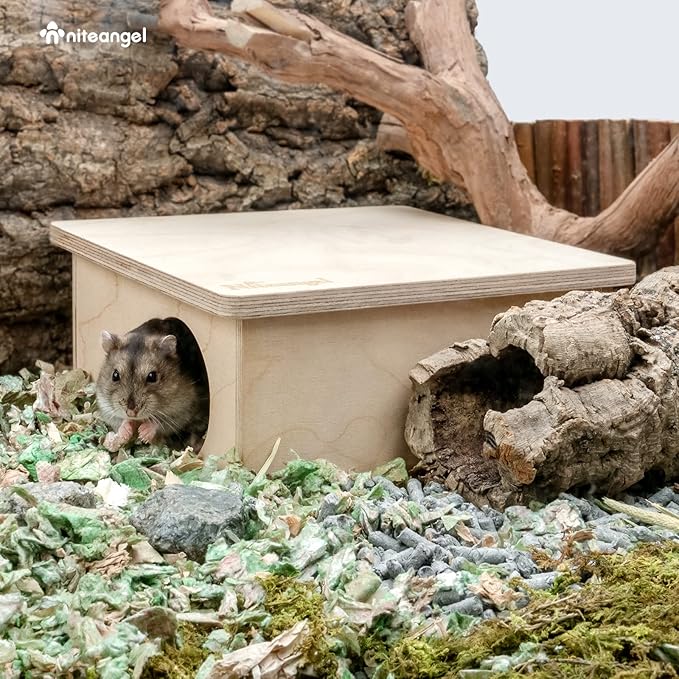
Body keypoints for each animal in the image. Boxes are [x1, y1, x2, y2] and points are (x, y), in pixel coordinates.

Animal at [96, 317, 209, 452]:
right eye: (115, 375)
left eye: (152, 376)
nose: (131, 413)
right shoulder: (105, 406)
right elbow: (120, 420)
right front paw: (125, 433)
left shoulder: (182, 410)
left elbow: (160, 423)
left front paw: (142, 433)